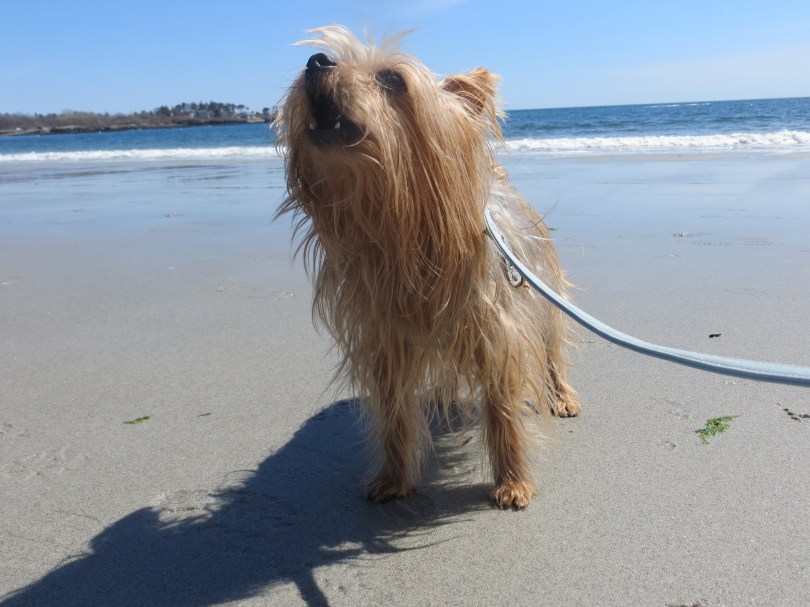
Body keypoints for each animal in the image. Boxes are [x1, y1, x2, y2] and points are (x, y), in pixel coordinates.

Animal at [277, 26, 580, 509]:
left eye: (392, 80)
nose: (317, 61)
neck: (404, 235)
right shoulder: (385, 340)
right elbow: (394, 411)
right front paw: (394, 476)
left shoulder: (498, 330)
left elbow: (502, 409)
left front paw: (513, 481)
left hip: (544, 285)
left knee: (553, 347)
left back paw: (563, 396)